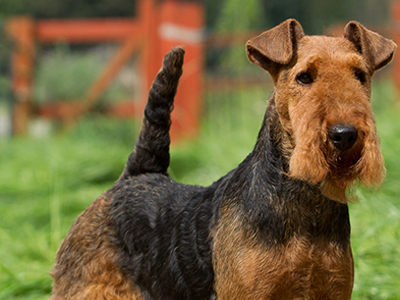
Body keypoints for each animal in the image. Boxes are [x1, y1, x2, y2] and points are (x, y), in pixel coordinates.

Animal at [49, 19, 394, 300]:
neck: (302, 204)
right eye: (304, 77)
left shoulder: (331, 288)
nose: (344, 134)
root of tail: (136, 175)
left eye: (360, 75)